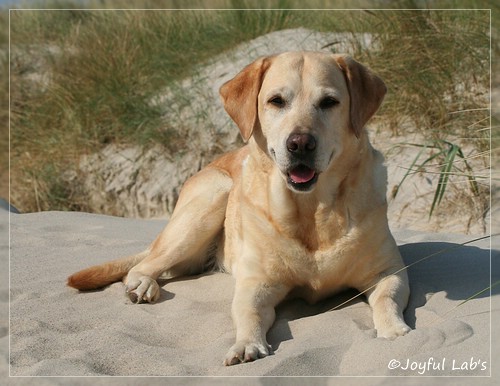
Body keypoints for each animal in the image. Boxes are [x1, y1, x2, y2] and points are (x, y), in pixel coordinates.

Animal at [67, 50, 410, 364]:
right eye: (276, 101)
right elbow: (249, 314)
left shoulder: (388, 270)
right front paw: (248, 344)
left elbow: (387, 299)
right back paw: (143, 285)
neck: (312, 210)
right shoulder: (255, 284)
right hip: (211, 199)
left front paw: (394, 330)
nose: (300, 143)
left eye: (329, 102)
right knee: (142, 265)